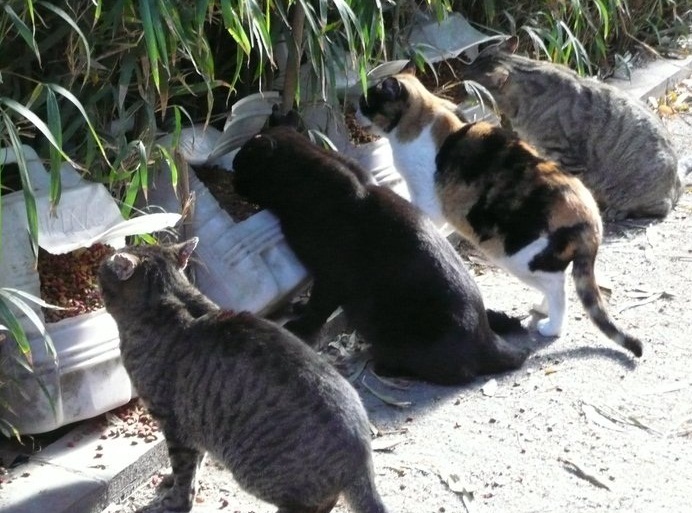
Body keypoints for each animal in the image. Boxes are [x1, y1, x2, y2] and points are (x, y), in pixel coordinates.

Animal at [97, 239, 390, 512]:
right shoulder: (195, 423)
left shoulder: (174, 424)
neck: (173, 299)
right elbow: (195, 463)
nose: (101, 258)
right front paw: (171, 480)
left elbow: (185, 474)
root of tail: (362, 457)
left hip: (258, 472)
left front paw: (173, 501)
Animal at [356, 67, 644, 356]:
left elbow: (418, 210)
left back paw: (551, 326)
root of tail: (592, 220)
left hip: (516, 257)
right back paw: (542, 308)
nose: (355, 108)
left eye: (367, 100)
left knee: (558, 288)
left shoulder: (428, 200)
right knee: (559, 280)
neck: (424, 117)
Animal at [452, 35, 684, 220]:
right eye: (466, 70)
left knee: (658, 208)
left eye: (468, 82)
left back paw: (617, 210)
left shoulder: (567, 156)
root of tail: (677, 184)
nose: (458, 80)